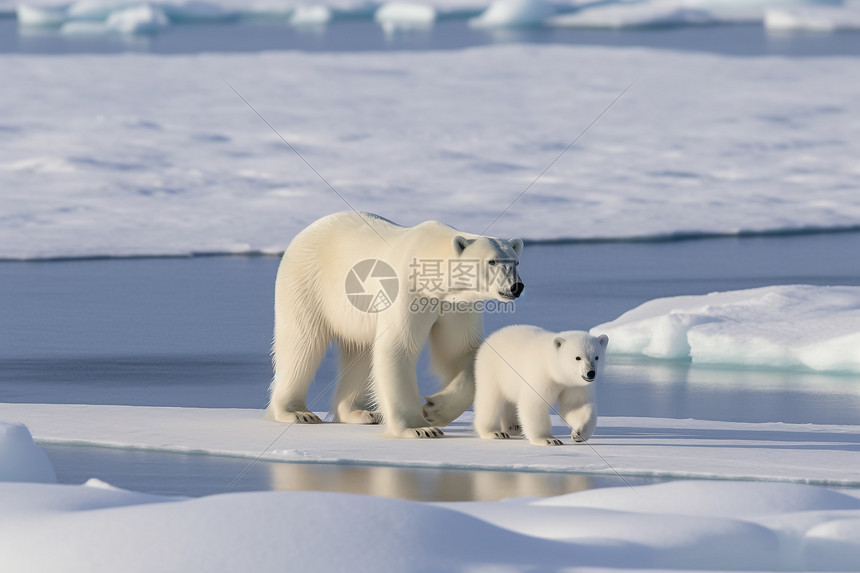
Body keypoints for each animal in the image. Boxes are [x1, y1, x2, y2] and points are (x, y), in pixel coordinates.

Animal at [268, 212, 524, 436]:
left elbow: (461, 351)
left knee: (359, 352)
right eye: (492, 261)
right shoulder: (407, 291)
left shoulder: (455, 305)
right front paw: (420, 428)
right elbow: (398, 347)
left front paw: (435, 409)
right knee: (302, 344)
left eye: (516, 261)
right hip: (307, 284)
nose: (516, 286)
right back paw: (297, 412)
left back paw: (360, 413)